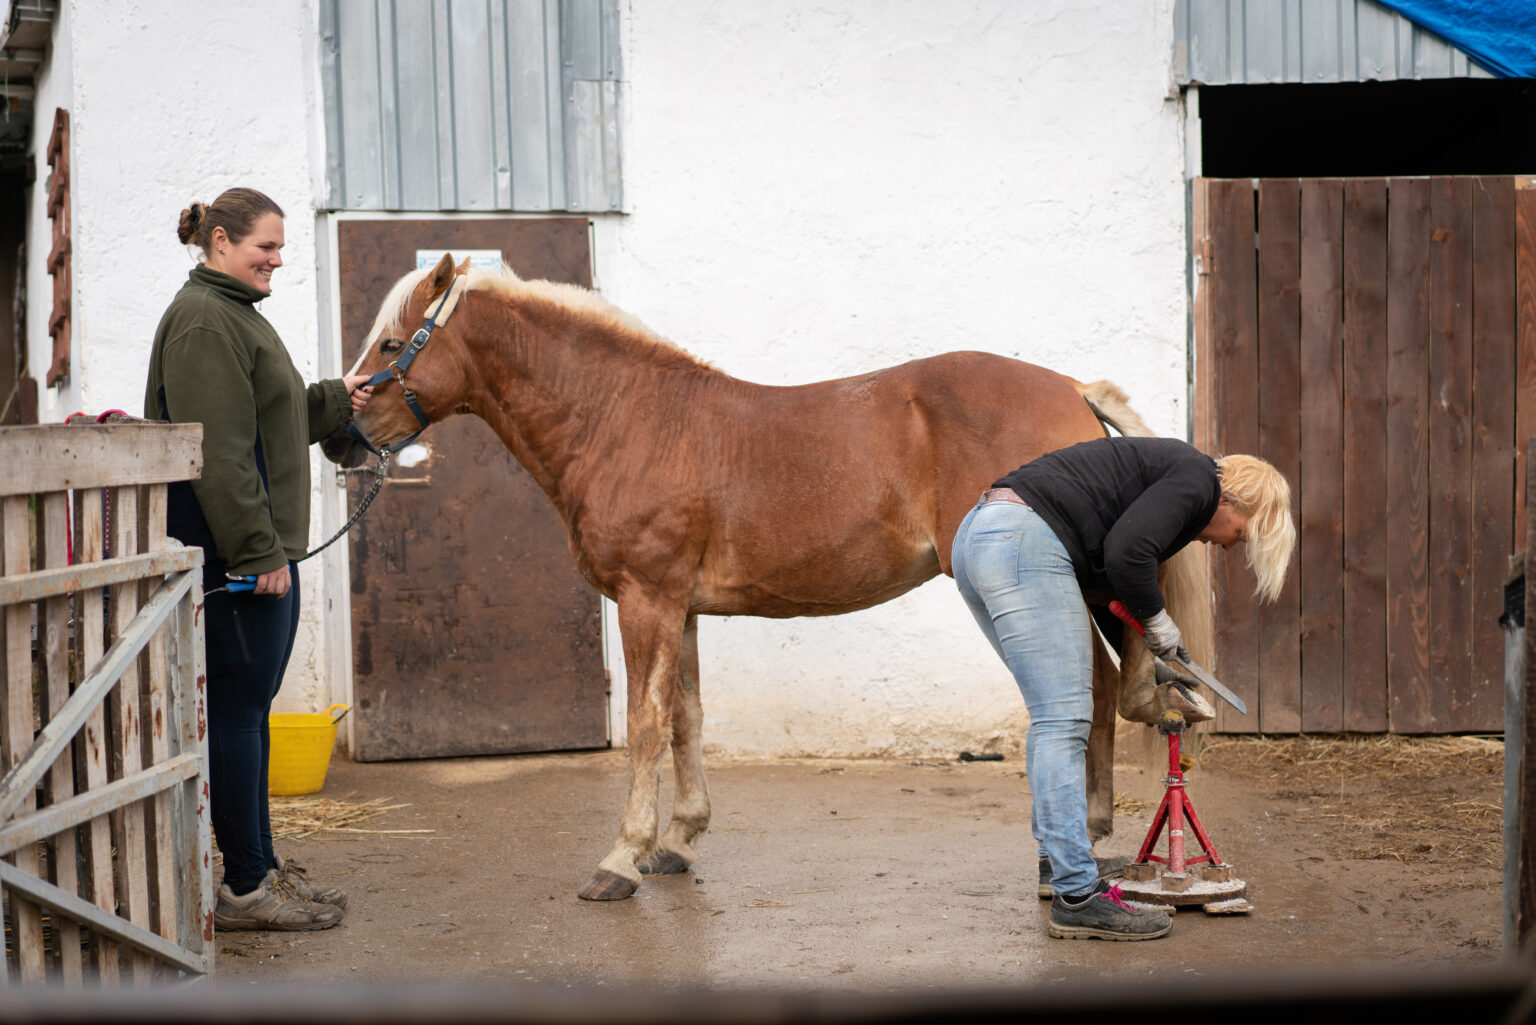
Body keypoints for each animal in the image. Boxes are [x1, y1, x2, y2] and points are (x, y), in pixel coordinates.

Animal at [325, 253, 1214, 901]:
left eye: (392, 343)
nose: (339, 434)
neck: (624, 418)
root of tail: (1073, 391)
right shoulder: (677, 605)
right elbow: (685, 717)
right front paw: (677, 840)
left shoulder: (646, 599)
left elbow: (645, 725)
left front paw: (619, 858)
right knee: (1099, 681)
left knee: (1092, 684)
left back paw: (1083, 835)